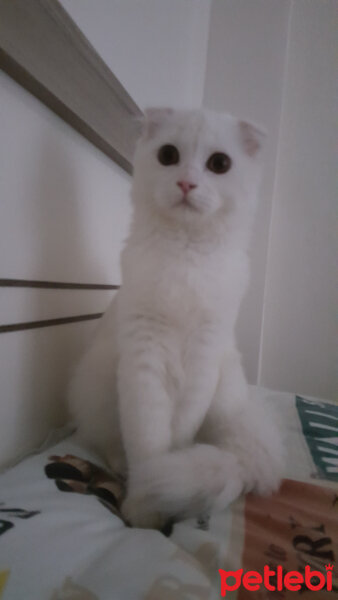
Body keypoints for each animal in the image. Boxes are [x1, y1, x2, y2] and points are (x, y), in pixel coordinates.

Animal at [69, 108, 286, 528]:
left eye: (219, 164)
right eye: (168, 155)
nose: (186, 182)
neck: (186, 256)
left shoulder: (204, 359)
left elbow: (177, 440)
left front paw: (152, 505)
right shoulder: (144, 361)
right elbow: (148, 442)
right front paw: (142, 512)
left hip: (224, 386)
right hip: (99, 384)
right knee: (109, 443)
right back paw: (121, 469)